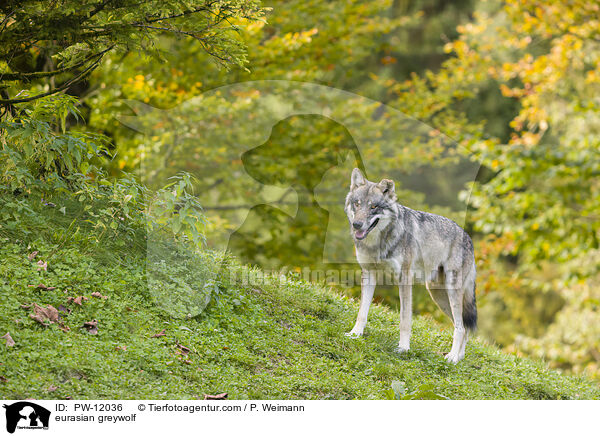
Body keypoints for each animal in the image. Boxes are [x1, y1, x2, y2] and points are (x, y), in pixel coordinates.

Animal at [344, 169, 476, 362]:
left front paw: (404, 348)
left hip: (451, 292)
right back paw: (458, 358)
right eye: (357, 204)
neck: (378, 242)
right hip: (438, 294)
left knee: (461, 327)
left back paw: (452, 357)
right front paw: (355, 334)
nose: (357, 225)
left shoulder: (404, 279)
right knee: (464, 328)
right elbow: (362, 312)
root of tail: (468, 237)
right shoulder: (368, 274)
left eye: (374, 207)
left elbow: (404, 319)